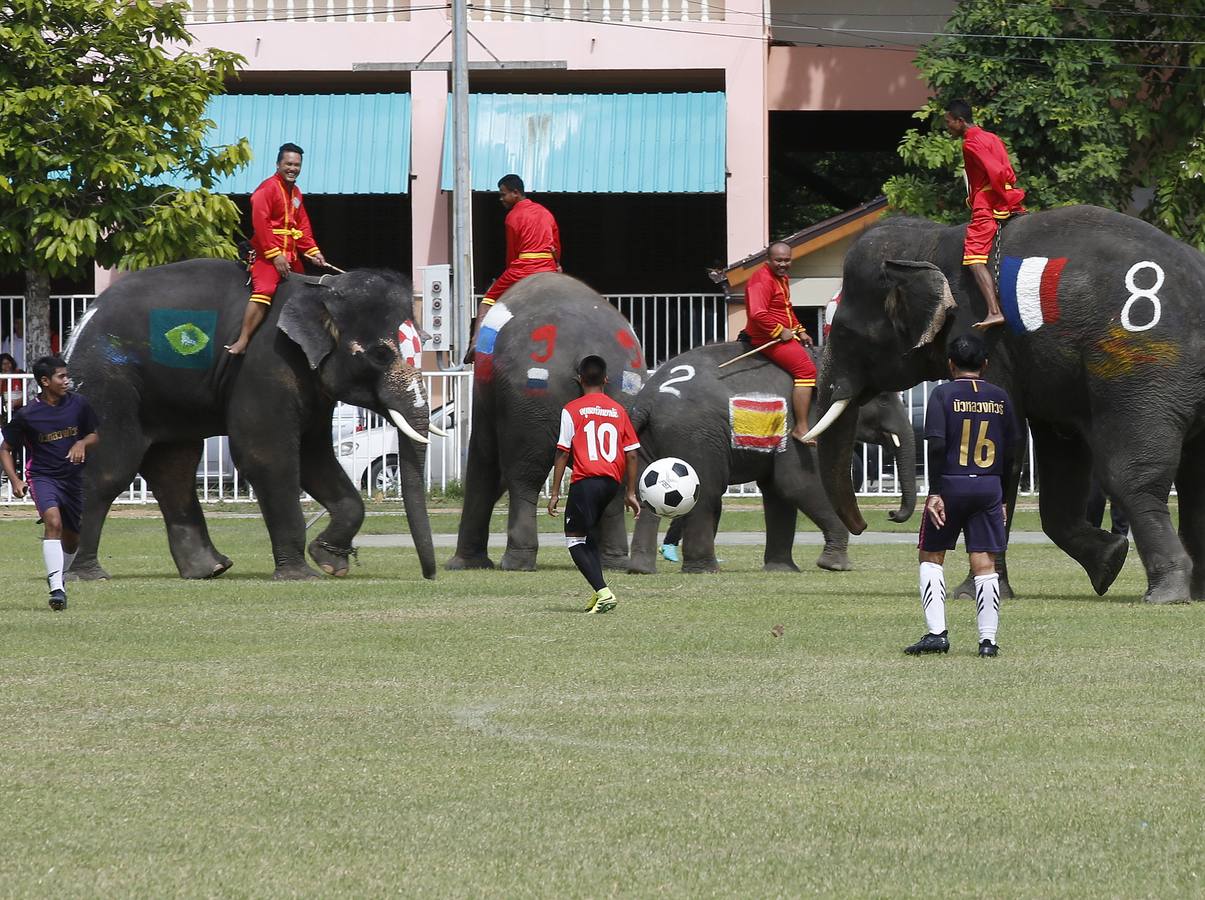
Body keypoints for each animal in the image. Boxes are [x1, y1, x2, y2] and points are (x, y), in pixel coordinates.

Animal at [64, 260, 437, 581]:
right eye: (380, 354)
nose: (430, 576)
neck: (322, 290)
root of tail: (81, 324)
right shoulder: (266, 364)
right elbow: (267, 457)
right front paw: (301, 575)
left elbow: (314, 458)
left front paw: (330, 562)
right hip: (107, 381)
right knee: (110, 468)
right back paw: (88, 575)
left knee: (174, 467)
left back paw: (210, 570)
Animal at [446, 272, 648, 571]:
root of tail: (587, 348)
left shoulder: (487, 397)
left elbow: (485, 456)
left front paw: (461, 565)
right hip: (622, 397)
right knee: (618, 478)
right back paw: (614, 563)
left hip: (528, 400)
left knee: (523, 476)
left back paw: (515, 563)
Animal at [625, 342, 917, 574]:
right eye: (882, 398)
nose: (891, 513)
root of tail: (648, 398)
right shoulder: (802, 425)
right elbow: (798, 483)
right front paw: (835, 566)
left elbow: (778, 491)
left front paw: (783, 570)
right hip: (696, 435)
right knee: (706, 493)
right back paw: (704, 569)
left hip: (651, 440)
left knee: (648, 495)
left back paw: (642, 570)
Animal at [809, 205, 1205, 604]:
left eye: (844, 332)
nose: (882, 517)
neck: (933, 242)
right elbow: (1060, 457)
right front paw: (1109, 561)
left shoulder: (985, 339)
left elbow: (1002, 442)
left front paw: (969, 593)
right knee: (1192, 481)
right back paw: (1193, 591)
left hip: (1144, 372)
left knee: (1130, 476)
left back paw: (1166, 594)